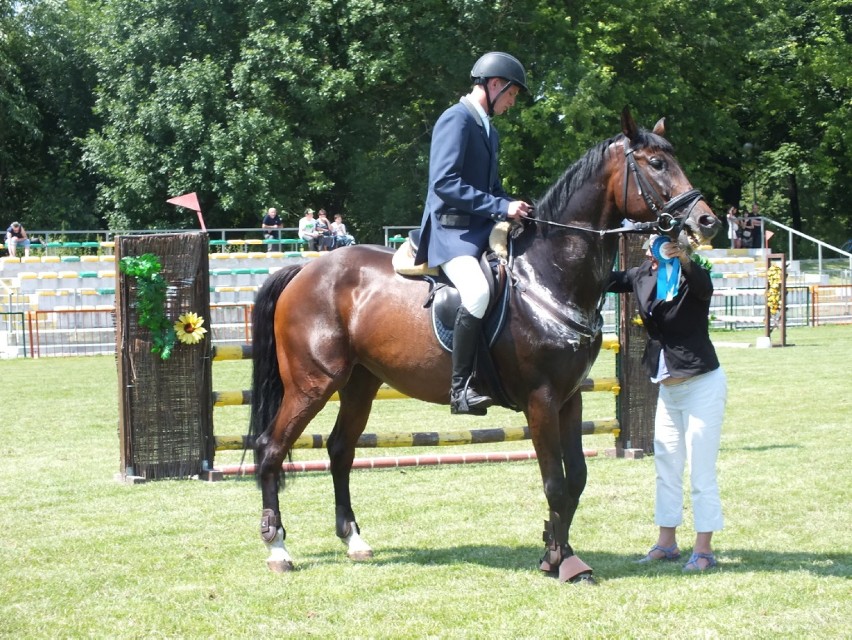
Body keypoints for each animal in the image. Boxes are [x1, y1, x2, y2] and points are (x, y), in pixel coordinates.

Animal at [246, 107, 720, 584]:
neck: (546, 274)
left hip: (360, 383)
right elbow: (555, 483)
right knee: (271, 449)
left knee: (340, 450)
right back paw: (277, 548)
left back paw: (354, 540)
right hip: (312, 383)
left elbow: (577, 478)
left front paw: (555, 553)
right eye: (656, 164)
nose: (707, 222)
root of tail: (305, 270)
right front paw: (563, 562)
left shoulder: (570, 399)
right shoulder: (541, 400)